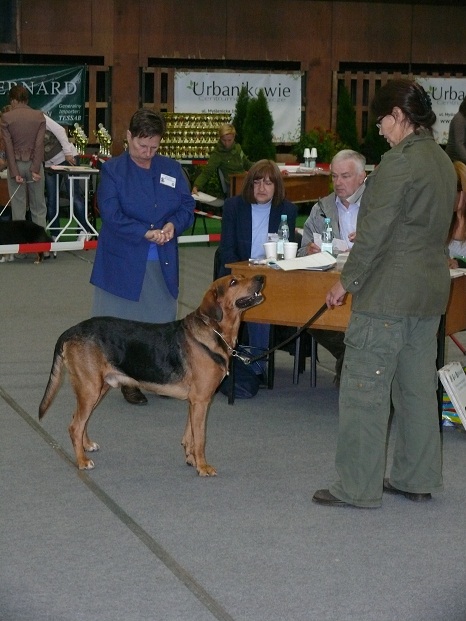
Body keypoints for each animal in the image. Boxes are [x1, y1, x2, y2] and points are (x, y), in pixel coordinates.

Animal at [39, 274, 264, 472]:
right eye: (233, 282)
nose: (261, 278)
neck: (214, 332)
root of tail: (72, 330)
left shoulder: (194, 402)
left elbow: (189, 435)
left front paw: (191, 459)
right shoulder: (202, 401)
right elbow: (200, 438)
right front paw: (203, 467)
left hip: (98, 388)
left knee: (79, 419)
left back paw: (87, 446)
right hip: (90, 389)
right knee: (74, 426)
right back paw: (82, 462)